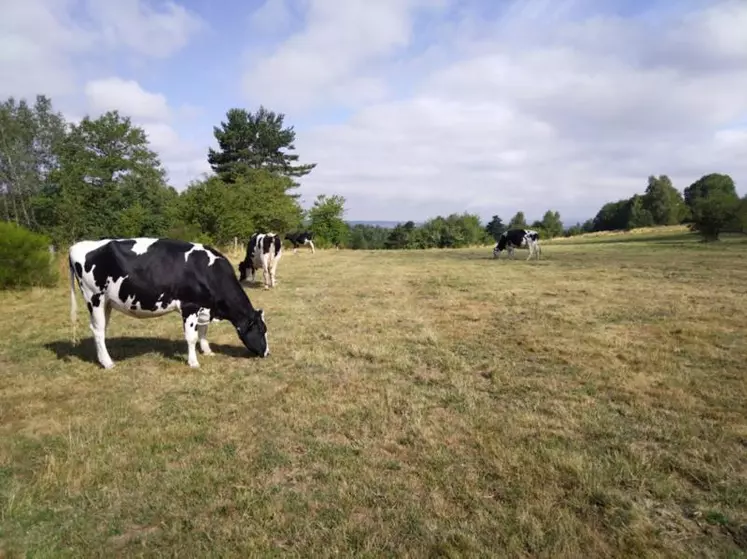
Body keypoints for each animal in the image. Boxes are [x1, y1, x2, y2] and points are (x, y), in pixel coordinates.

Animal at [68, 238, 270, 370]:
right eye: (261, 330)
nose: (267, 353)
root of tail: (77, 245)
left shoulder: (205, 308)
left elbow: (203, 331)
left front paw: (207, 351)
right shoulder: (190, 306)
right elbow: (191, 337)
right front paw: (194, 362)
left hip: (107, 302)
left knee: (100, 329)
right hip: (95, 298)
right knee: (98, 331)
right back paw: (108, 363)